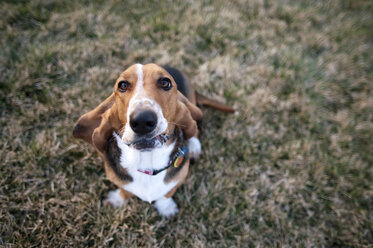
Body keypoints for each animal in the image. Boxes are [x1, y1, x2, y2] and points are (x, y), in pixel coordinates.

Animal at [72, 63, 232, 217]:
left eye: (165, 82)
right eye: (122, 85)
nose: (142, 120)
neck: (147, 163)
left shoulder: (178, 179)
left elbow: (168, 193)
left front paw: (166, 208)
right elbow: (125, 191)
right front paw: (117, 199)